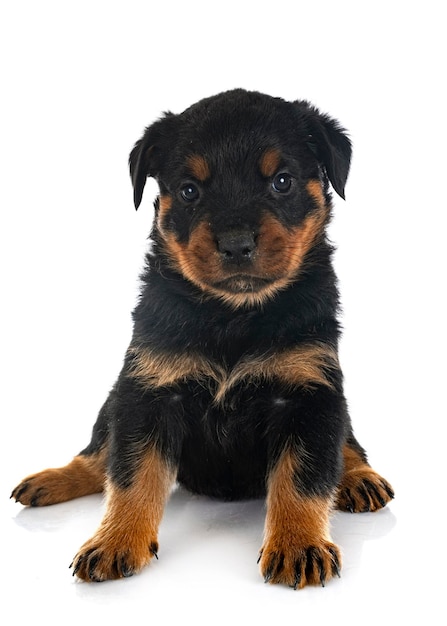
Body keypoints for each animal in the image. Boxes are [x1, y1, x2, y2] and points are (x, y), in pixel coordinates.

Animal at [11, 88, 396, 584]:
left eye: (283, 181)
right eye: (190, 191)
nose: (235, 244)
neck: (233, 315)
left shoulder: (309, 392)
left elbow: (304, 478)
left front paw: (298, 545)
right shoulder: (147, 391)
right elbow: (132, 474)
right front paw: (115, 541)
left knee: (345, 444)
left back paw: (358, 478)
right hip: (114, 397)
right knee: (98, 456)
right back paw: (52, 479)